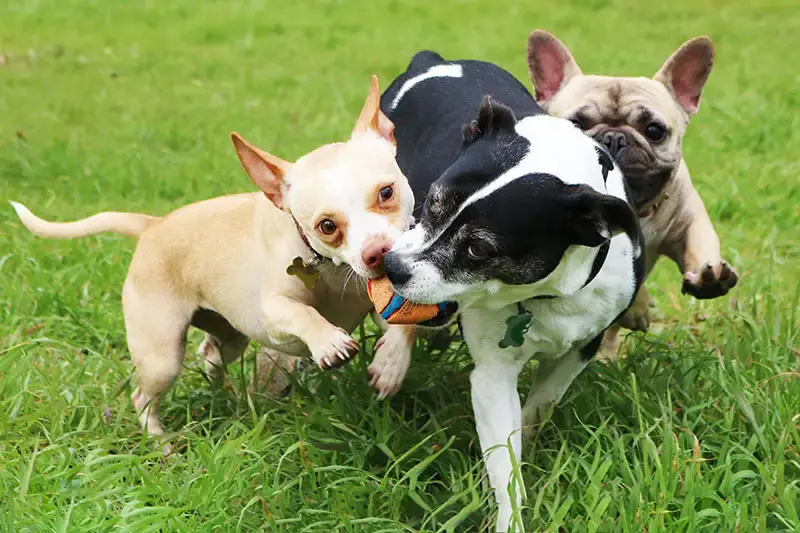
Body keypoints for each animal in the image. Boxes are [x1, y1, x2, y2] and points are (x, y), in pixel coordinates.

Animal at [380, 52, 644, 528]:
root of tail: (435, 60)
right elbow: (505, 464)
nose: (392, 267)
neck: (544, 294)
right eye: (432, 205)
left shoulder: (584, 345)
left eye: (479, 248)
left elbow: (542, 402)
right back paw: (391, 361)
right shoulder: (492, 376)